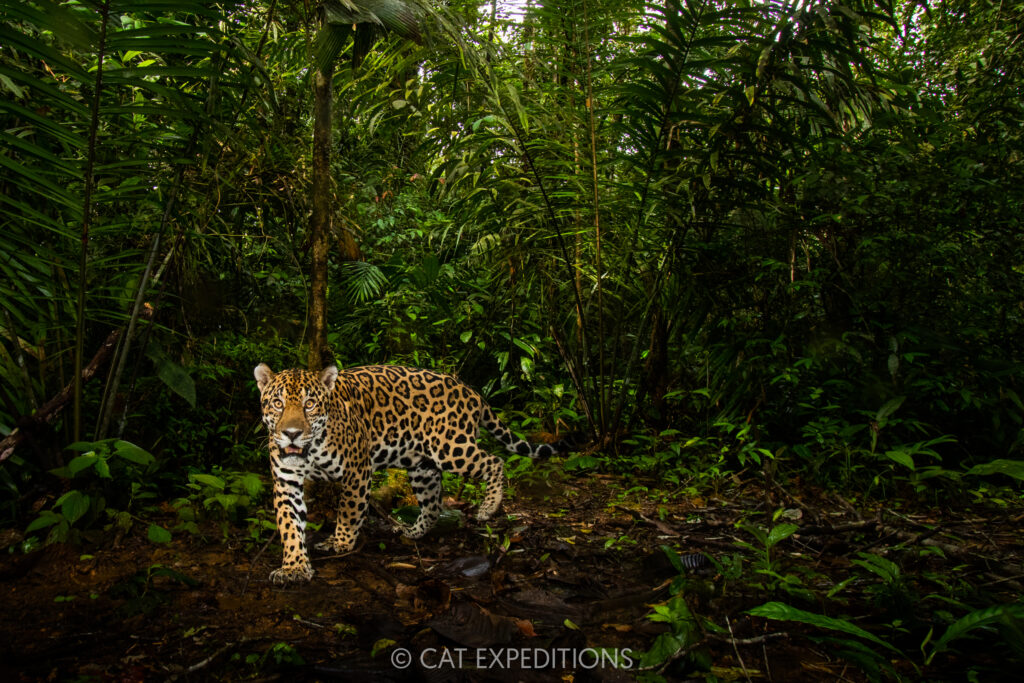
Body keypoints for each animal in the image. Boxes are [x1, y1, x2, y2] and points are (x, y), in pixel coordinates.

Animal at [253, 363, 577, 584]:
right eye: (278, 403)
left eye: (309, 404)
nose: (291, 433)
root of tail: (471, 390)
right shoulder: (286, 482)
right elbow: (290, 525)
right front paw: (294, 566)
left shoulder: (357, 470)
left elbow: (348, 511)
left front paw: (340, 542)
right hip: (423, 466)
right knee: (432, 504)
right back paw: (412, 531)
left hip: (452, 447)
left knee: (494, 461)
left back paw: (488, 507)